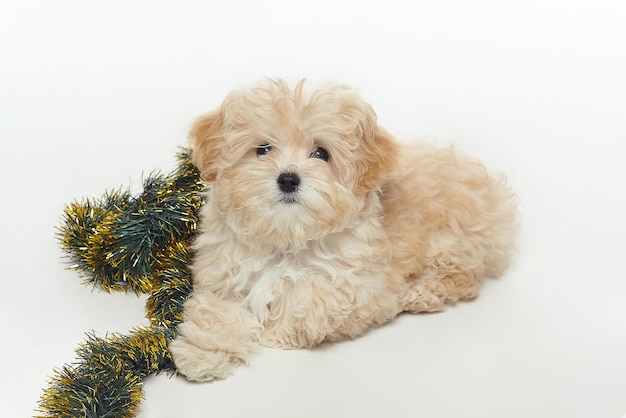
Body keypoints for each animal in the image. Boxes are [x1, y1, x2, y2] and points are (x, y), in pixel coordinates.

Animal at [168, 78, 516, 382]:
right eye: (263, 149)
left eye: (321, 153)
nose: (288, 179)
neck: (287, 237)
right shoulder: (223, 276)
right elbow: (216, 311)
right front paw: (201, 354)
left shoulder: (363, 288)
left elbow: (311, 300)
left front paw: (277, 333)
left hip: (452, 236)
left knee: (462, 275)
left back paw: (421, 292)